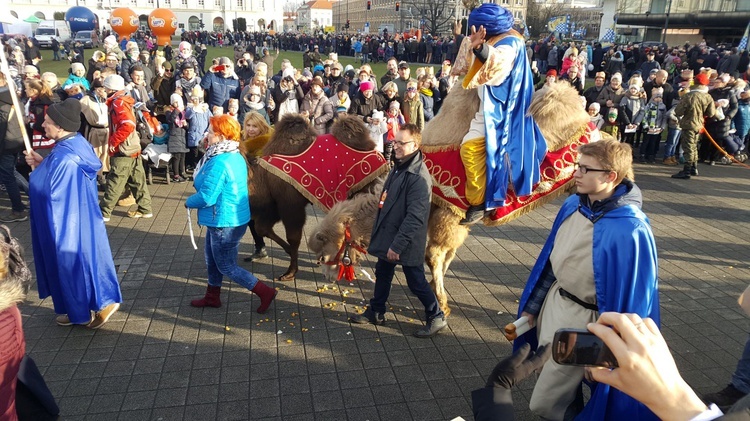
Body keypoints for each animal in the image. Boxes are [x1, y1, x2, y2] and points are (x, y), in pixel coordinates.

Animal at [306, 83, 600, 316]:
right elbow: (448, 254)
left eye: (324, 250)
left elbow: (434, 255)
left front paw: (441, 302)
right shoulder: (455, 220)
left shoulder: (451, 212)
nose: (328, 274)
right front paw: (436, 290)